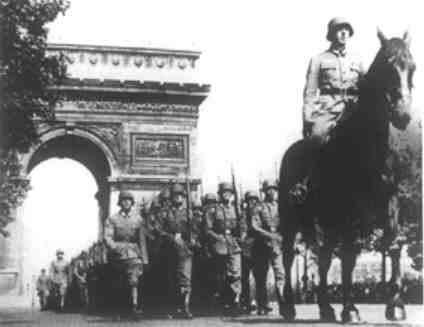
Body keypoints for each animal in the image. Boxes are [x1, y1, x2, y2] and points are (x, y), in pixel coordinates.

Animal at [278, 29, 414, 324]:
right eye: (388, 67)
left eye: (412, 67)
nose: (403, 115)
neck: (367, 143)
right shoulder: (350, 208)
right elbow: (350, 254)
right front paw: (350, 308)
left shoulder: (390, 200)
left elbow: (393, 245)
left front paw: (395, 304)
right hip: (292, 217)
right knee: (288, 254)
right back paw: (289, 307)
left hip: (327, 218)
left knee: (324, 255)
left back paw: (325, 307)